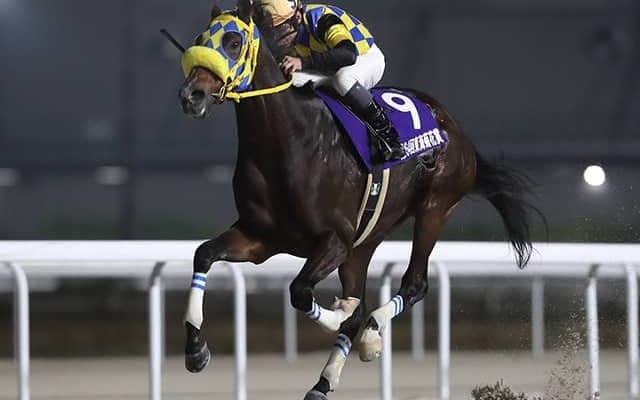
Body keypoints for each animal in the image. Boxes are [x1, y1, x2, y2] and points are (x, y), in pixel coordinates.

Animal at [176, 1, 540, 399]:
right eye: (200, 38)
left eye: (233, 41)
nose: (191, 95)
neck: (287, 143)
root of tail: (454, 127)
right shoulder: (260, 238)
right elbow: (204, 254)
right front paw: (196, 350)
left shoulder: (334, 240)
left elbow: (302, 293)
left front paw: (345, 315)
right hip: (364, 242)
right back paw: (323, 382)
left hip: (434, 207)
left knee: (413, 284)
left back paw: (371, 334)